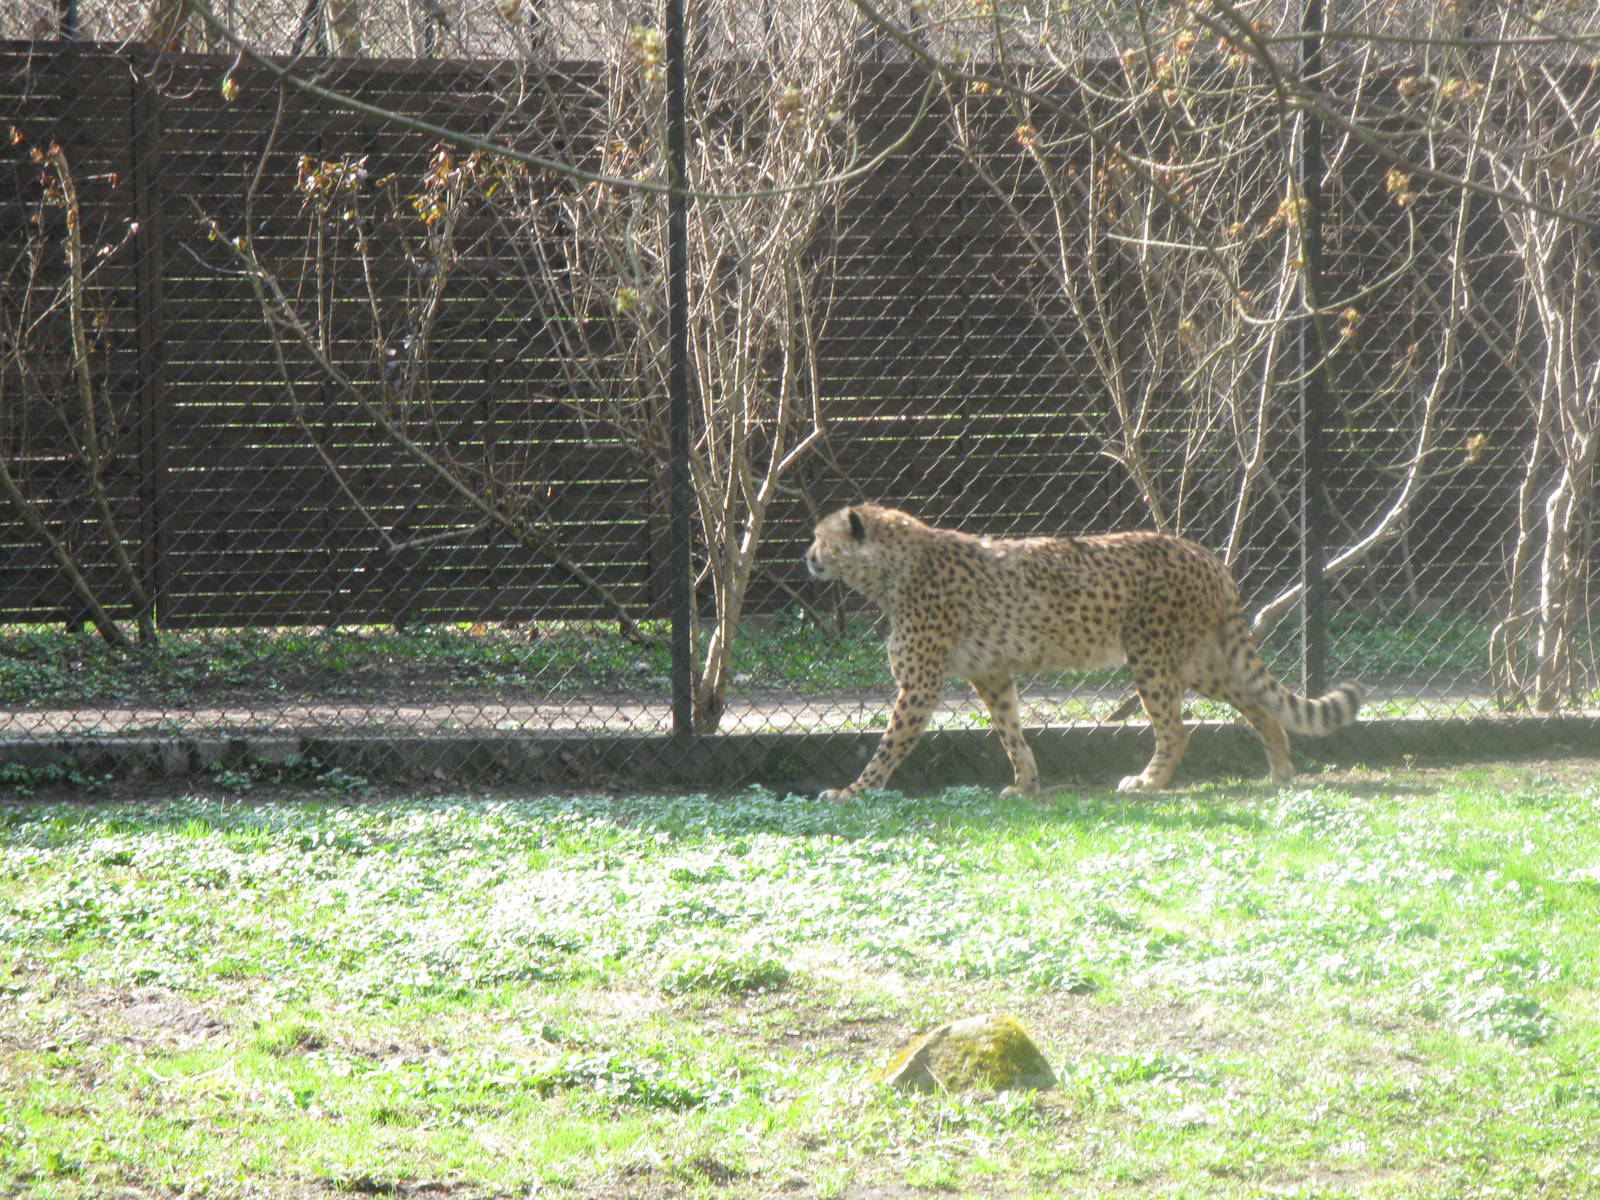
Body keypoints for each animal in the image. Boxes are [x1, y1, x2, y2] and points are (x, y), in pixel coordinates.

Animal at [804, 503, 1363, 800]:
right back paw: (1280, 771)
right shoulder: (991, 674)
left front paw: (853, 792)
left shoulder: (919, 685)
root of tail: (1199, 550)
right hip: (1197, 660)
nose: (807, 557)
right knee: (1257, 704)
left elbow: (889, 744)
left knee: (1176, 728)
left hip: (1152, 656)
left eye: (820, 537)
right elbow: (1010, 733)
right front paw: (1026, 786)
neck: (890, 567)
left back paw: (1148, 782)